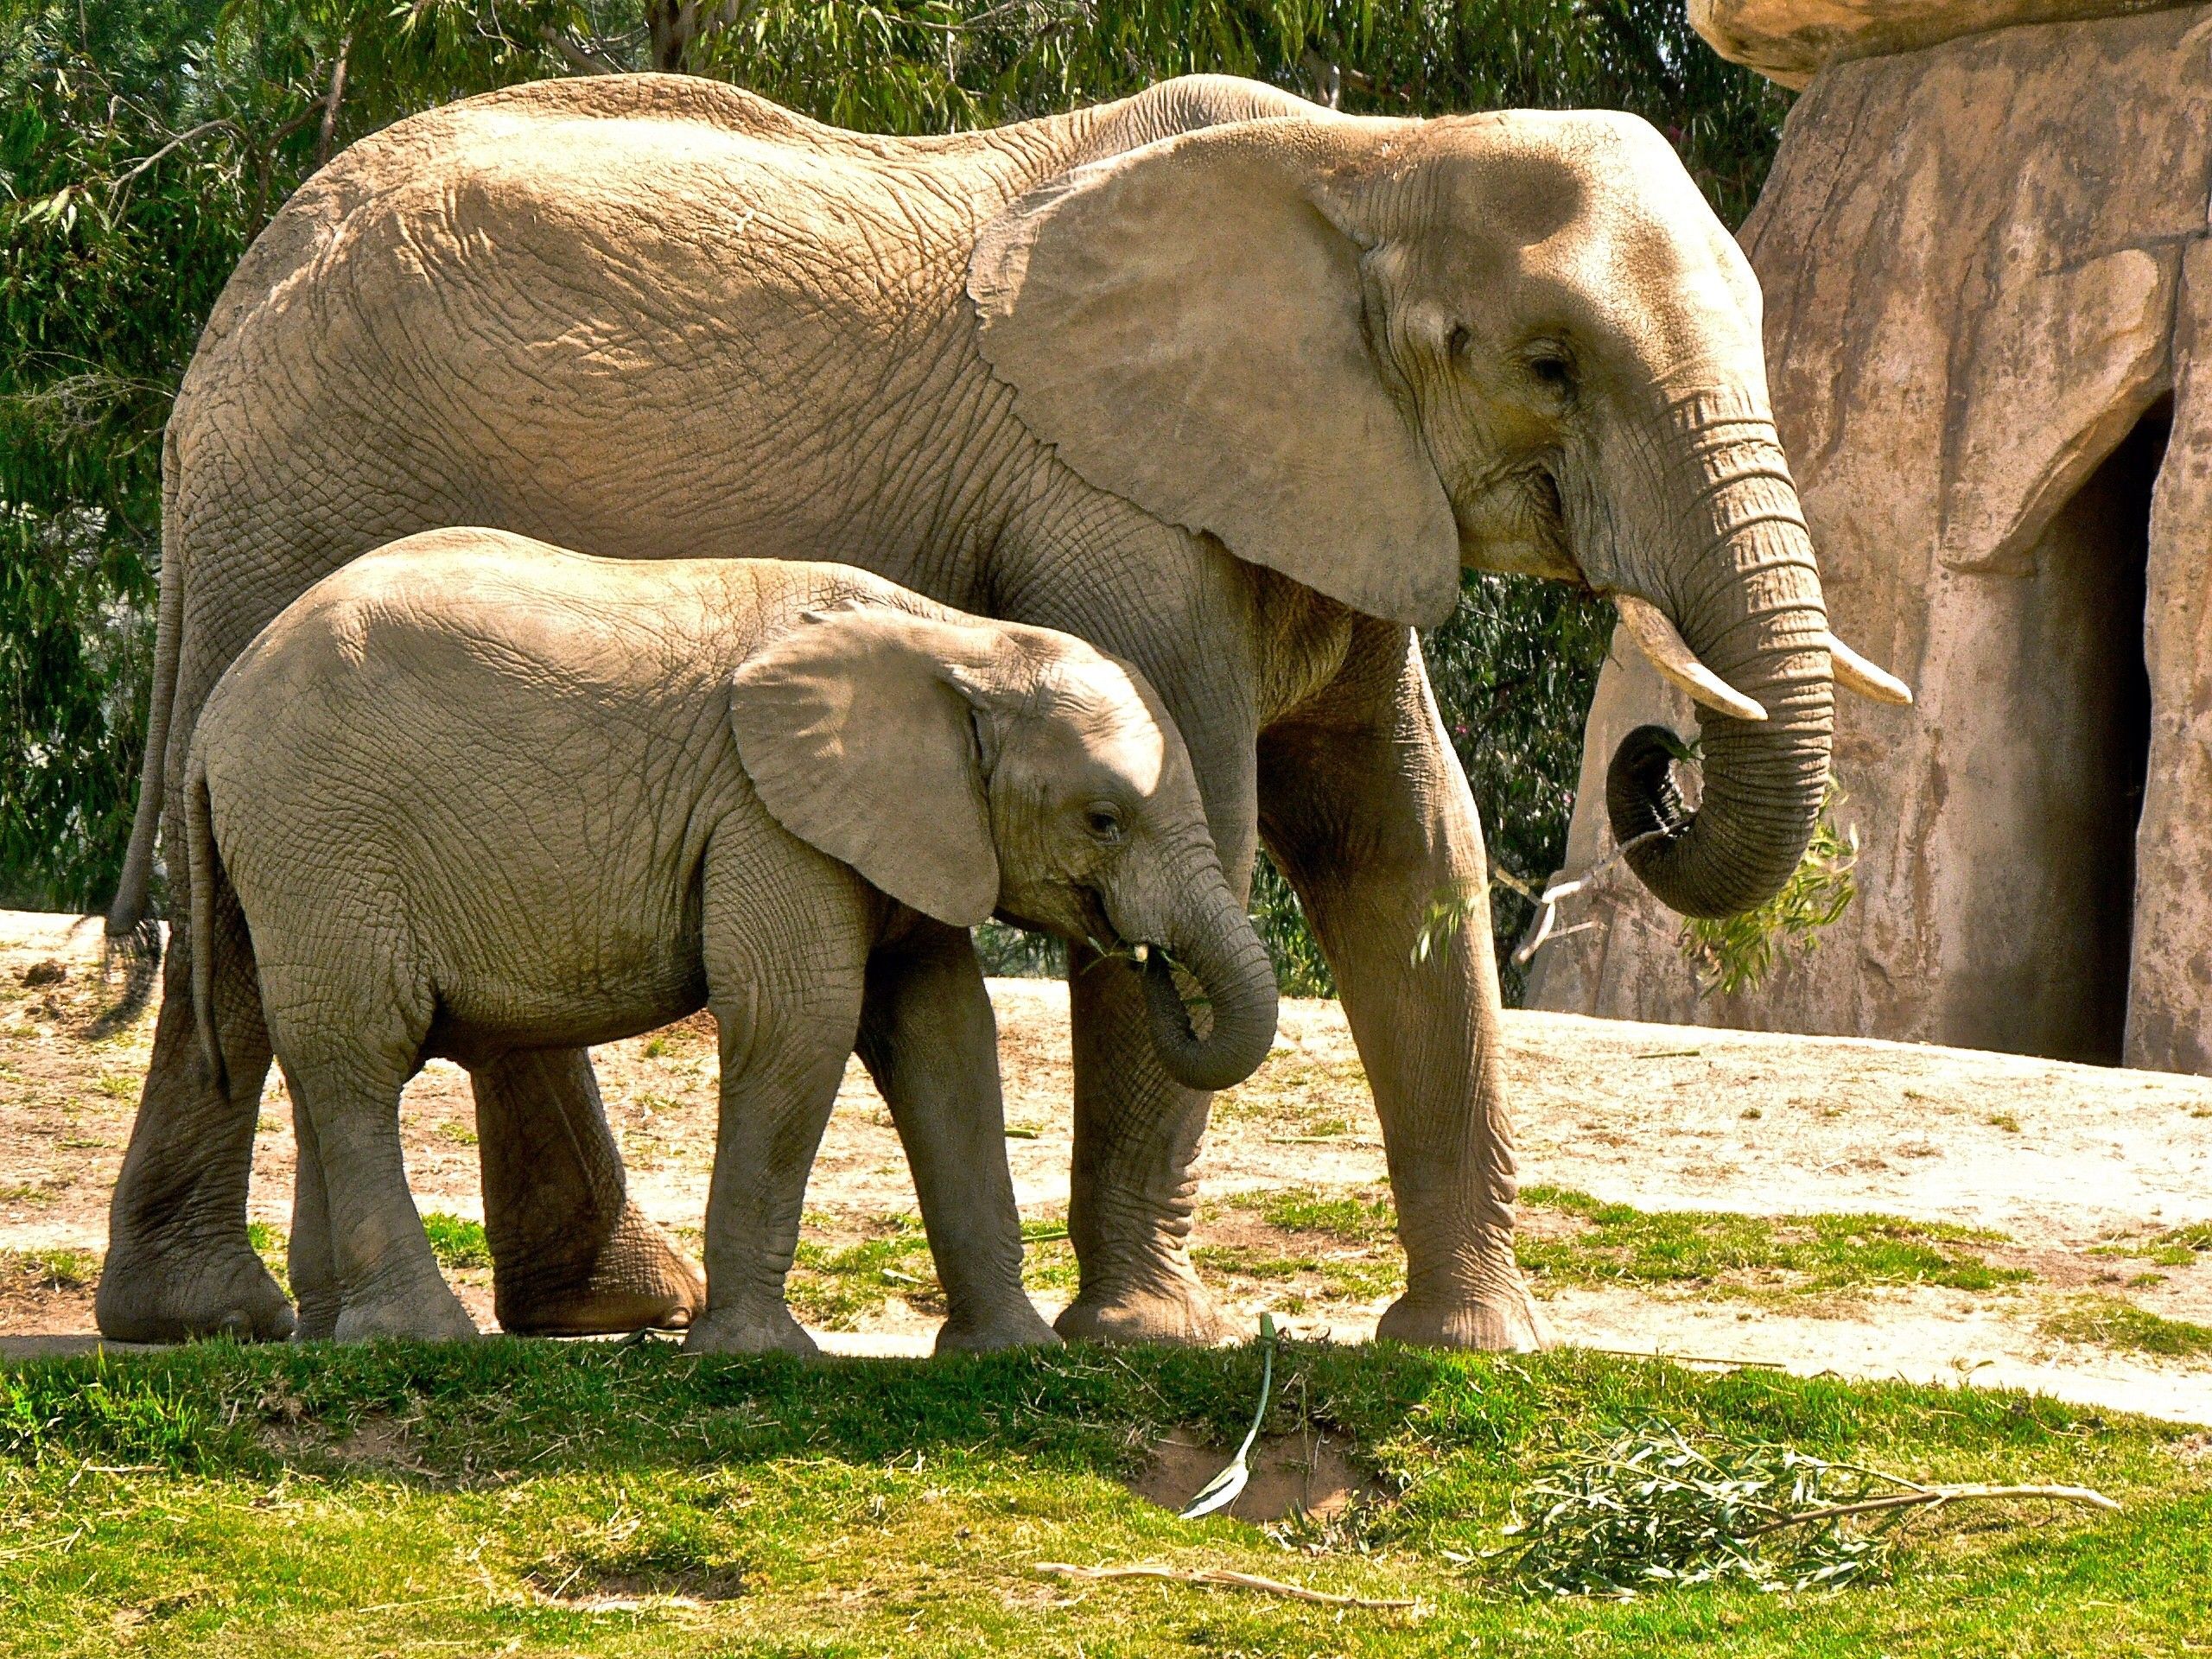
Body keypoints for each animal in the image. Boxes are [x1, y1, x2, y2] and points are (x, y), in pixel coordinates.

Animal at [183, 528, 1282, 1353]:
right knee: (364, 1051)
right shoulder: (766, 813)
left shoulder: (903, 828)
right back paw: (419, 1339)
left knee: (318, 1057)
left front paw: (1012, 1355)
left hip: (297, 858)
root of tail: (212, 714)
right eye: (1104, 821)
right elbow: (800, 1020)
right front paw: (759, 1357)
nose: (1143, 955)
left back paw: (331, 1339)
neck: (957, 643)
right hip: (322, 830)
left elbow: (942, 1035)